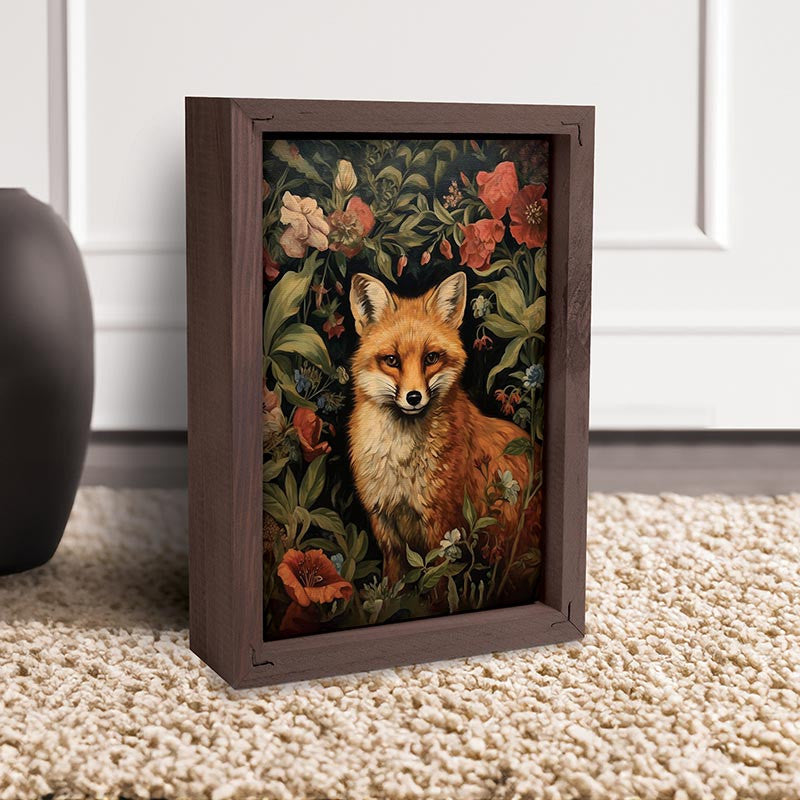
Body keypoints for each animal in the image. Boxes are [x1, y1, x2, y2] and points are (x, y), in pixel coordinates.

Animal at [348, 271, 532, 586]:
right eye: (392, 360)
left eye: (430, 358)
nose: (413, 397)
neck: (401, 463)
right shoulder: (386, 530)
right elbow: (392, 586)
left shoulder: (443, 531)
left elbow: (438, 587)